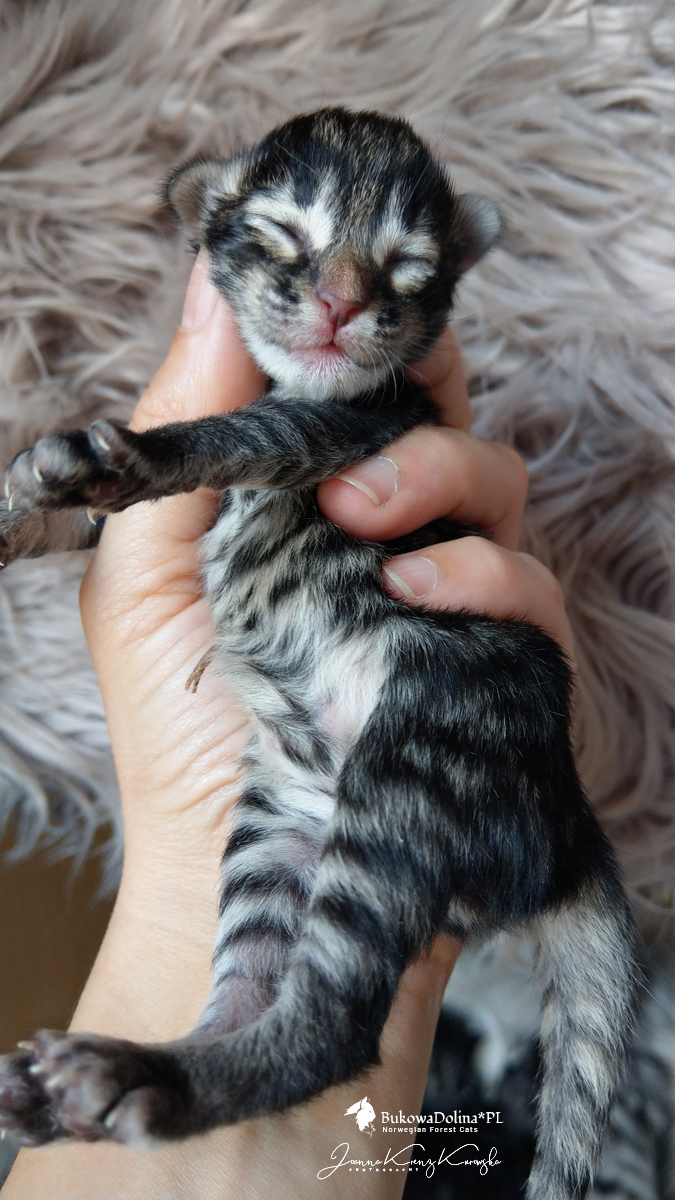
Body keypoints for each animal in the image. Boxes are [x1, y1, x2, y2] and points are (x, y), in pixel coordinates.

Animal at [0, 108, 638, 1200]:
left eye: (409, 266)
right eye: (283, 235)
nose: (340, 306)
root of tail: (571, 823)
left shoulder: (353, 419)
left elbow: (230, 433)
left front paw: (127, 453)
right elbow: (82, 520)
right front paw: (17, 510)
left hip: (421, 762)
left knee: (332, 1027)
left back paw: (138, 1081)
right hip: (280, 822)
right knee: (253, 989)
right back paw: (109, 1079)